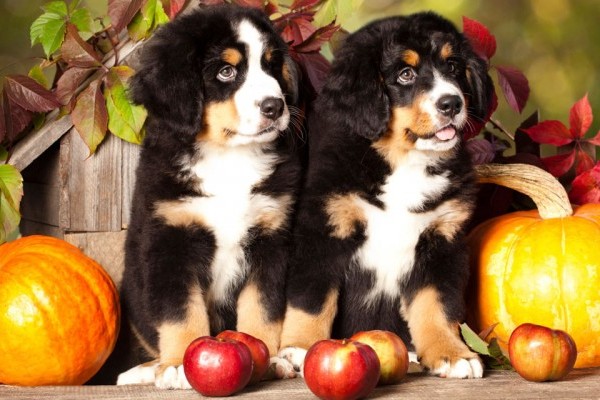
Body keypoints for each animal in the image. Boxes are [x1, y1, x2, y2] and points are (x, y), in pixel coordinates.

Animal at [117, 4, 302, 390]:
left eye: (271, 65)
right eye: (226, 71)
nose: (274, 107)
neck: (228, 158)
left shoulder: (271, 240)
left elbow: (262, 307)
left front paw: (270, 357)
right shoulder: (171, 240)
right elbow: (180, 311)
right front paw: (177, 365)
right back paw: (144, 370)